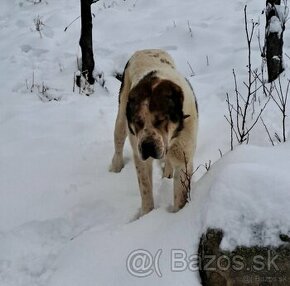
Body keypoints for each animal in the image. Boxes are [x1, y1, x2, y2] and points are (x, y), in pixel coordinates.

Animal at [110, 49, 198, 214]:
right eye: (137, 122)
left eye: (161, 120)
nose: (148, 146)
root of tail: (146, 50)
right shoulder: (140, 156)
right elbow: (146, 190)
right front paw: (146, 214)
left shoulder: (183, 156)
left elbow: (180, 195)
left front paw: (177, 214)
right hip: (122, 116)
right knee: (118, 141)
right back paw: (116, 167)